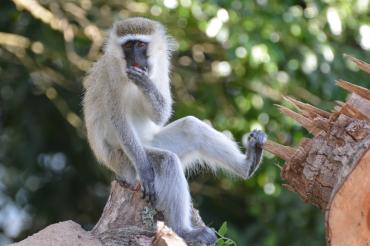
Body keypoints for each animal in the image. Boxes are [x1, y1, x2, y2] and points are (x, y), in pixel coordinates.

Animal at [83, 16, 266, 244]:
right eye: (127, 46)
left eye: (140, 44)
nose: (135, 58)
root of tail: (114, 169)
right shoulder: (111, 75)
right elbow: (119, 121)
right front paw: (145, 170)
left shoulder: (161, 63)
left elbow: (160, 115)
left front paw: (146, 83)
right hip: (125, 163)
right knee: (166, 160)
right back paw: (183, 230)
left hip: (151, 143)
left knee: (191, 127)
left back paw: (248, 164)